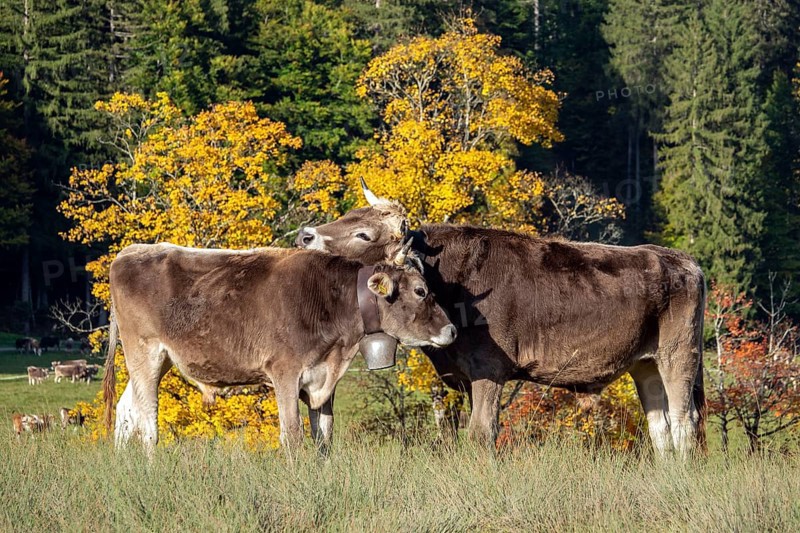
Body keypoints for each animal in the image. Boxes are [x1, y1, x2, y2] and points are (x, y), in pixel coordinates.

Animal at [102, 243, 456, 453]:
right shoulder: (285, 373)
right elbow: (292, 434)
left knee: (126, 411)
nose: (452, 330)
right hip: (144, 353)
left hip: (156, 361)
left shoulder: (322, 378)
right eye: (421, 291)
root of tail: (129, 251)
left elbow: (324, 434)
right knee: (147, 423)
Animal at [295, 180, 708, 457]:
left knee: (684, 421)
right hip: (645, 363)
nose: (304, 235)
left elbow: (481, 432)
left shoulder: (488, 368)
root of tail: (681, 259)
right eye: (348, 215)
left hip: (679, 355)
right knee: (661, 426)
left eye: (363, 234)